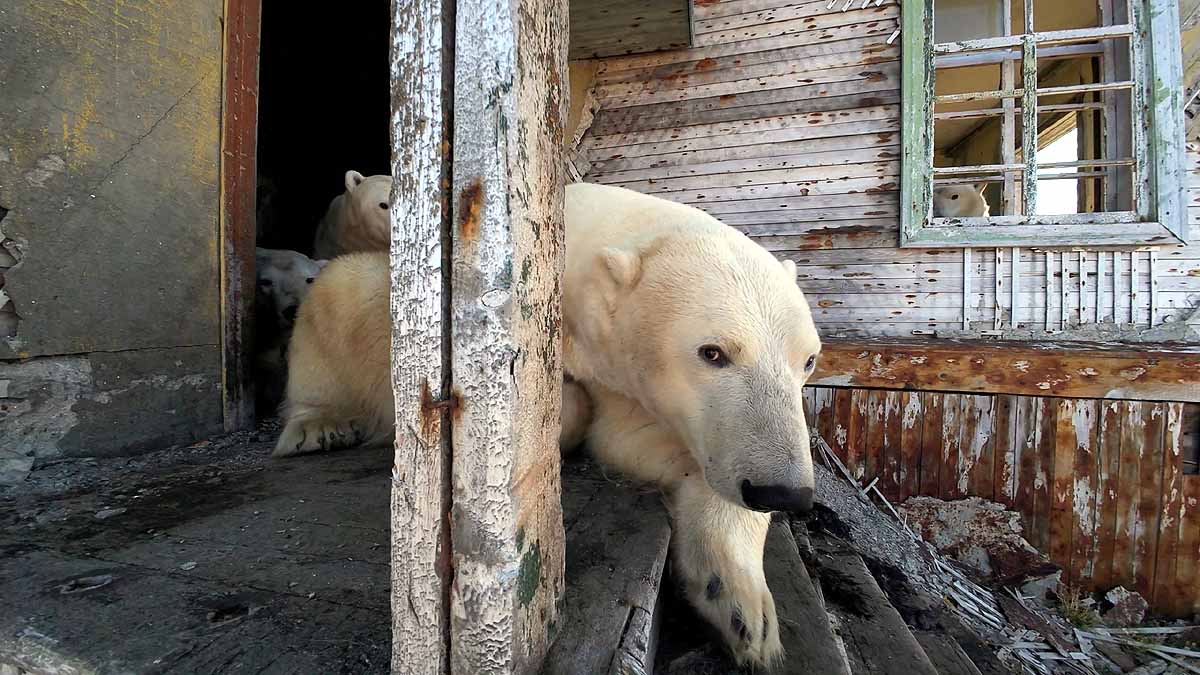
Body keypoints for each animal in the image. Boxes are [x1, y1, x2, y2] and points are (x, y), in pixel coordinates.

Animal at [274, 183, 821, 668]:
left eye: (809, 359)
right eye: (713, 352)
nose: (784, 492)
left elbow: (646, 444)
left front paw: (745, 613)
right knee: (338, 300)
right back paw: (317, 427)